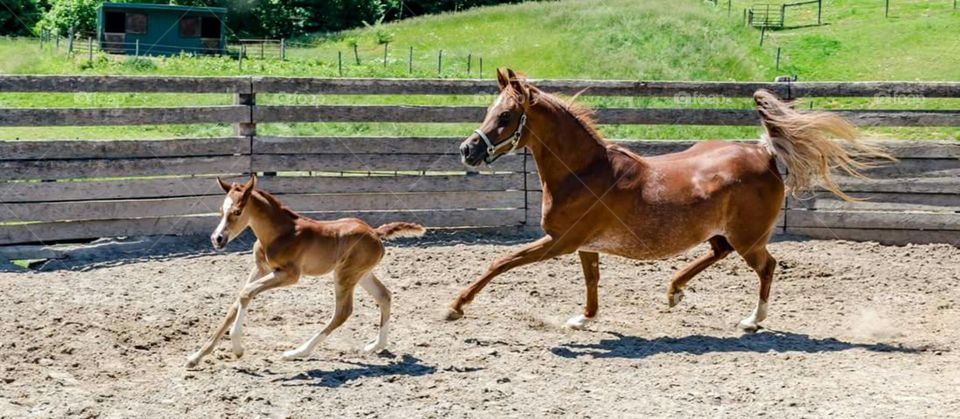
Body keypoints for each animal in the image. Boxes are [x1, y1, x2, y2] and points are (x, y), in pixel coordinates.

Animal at [186, 174, 425, 368]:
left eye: (237, 211)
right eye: (220, 211)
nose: (217, 239)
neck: (280, 233)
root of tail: (375, 232)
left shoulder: (289, 275)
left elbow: (246, 293)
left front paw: (237, 348)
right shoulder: (261, 269)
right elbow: (236, 303)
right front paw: (196, 357)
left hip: (345, 274)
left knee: (343, 311)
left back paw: (297, 352)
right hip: (362, 274)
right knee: (384, 296)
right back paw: (375, 346)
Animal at [450, 68, 892, 331]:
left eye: (506, 116)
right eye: (490, 110)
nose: (467, 150)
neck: (584, 173)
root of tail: (763, 152)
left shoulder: (560, 242)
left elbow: (501, 262)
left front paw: (454, 307)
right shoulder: (583, 245)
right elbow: (592, 280)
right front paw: (584, 319)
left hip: (749, 238)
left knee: (767, 267)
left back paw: (752, 319)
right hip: (722, 232)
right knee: (717, 252)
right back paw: (673, 291)